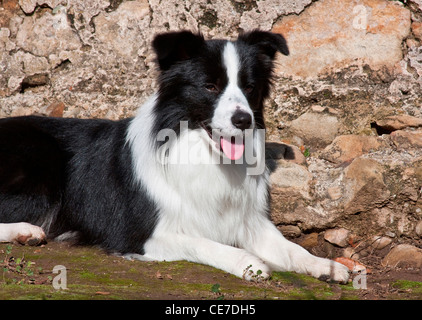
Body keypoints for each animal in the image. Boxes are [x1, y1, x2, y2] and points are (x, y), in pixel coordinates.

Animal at [0, 30, 350, 282]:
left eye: (250, 88)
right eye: (210, 86)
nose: (243, 120)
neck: (204, 156)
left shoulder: (250, 221)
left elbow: (291, 248)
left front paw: (325, 265)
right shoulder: (142, 234)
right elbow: (203, 242)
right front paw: (249, 262)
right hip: (40, 167)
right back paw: (25, 231)